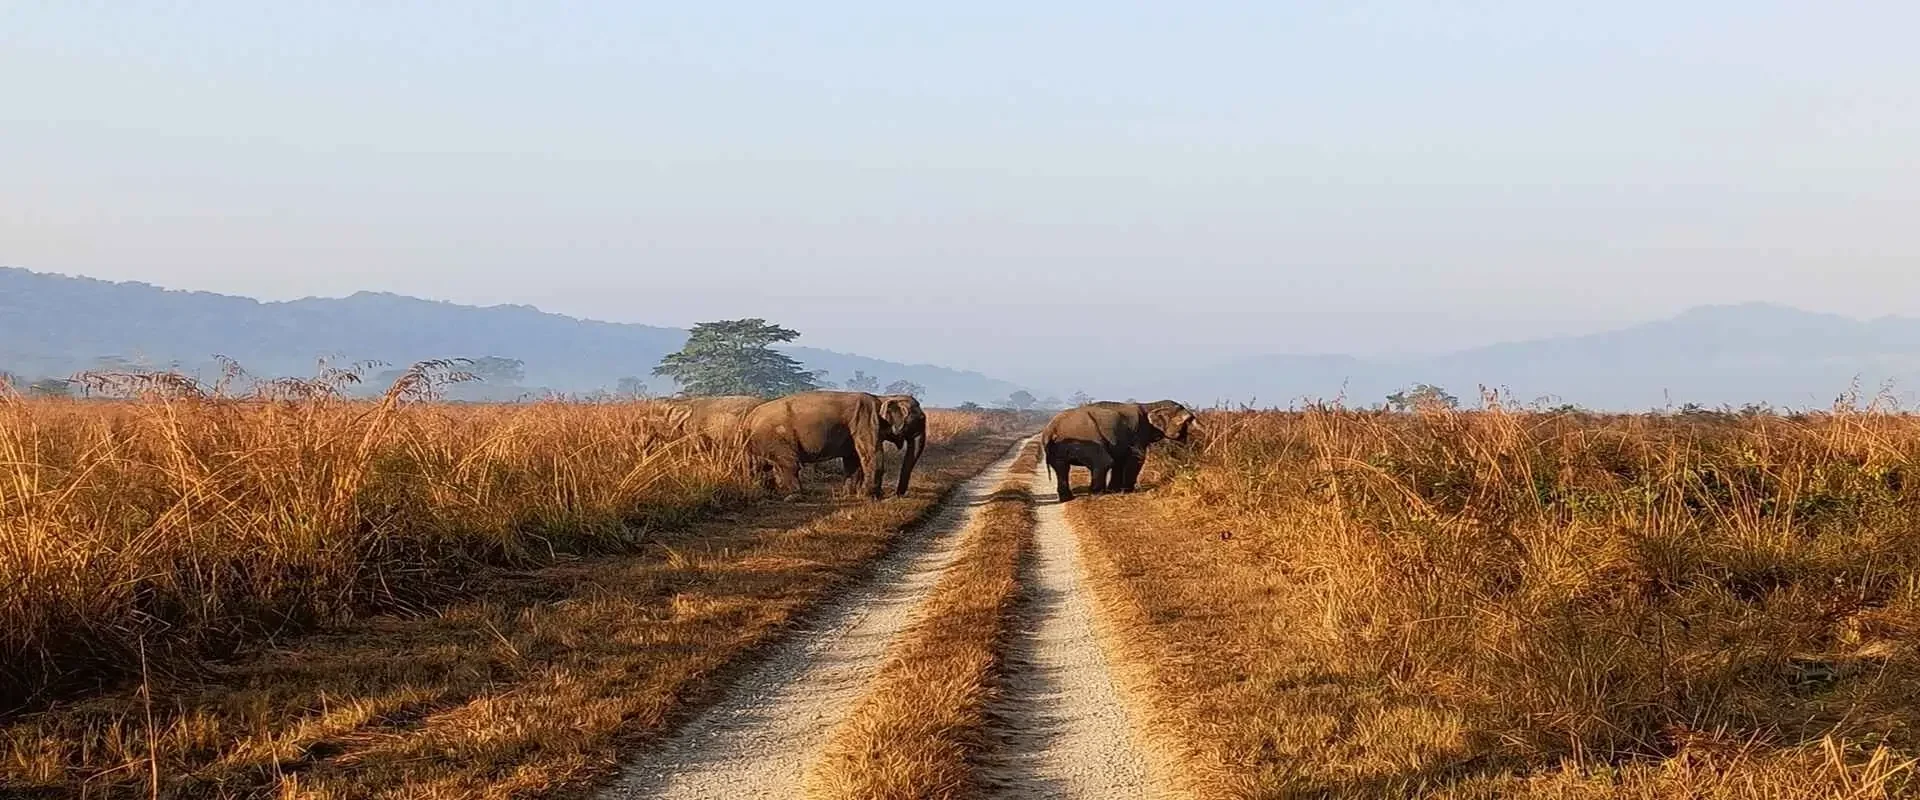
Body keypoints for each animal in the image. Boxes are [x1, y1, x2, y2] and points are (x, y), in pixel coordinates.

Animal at [737, 389, 925, 494]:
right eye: (921, 419)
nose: (897, 494)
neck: (882, 398)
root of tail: (749, 419)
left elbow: (852, 459)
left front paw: (850, 494)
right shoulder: (865, 421)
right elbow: (871, 454)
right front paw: (872, 496)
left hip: (754, 444)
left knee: (756, 466)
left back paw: (759, 490)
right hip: (776, 438)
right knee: (789, 464)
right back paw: (796, 494)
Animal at [1044, 399, 1190, 498]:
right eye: (1188, 421)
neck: (1150, 405)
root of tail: (1051, 429)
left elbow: (1119, 460)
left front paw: (1114, 490)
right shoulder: (1138, 433)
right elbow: (1137, 458)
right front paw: (1127, 491)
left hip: (1058, 448)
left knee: (1062, 467)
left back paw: (1067, 497)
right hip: (1085, 438)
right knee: (1103, 462)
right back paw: (1096, 493)